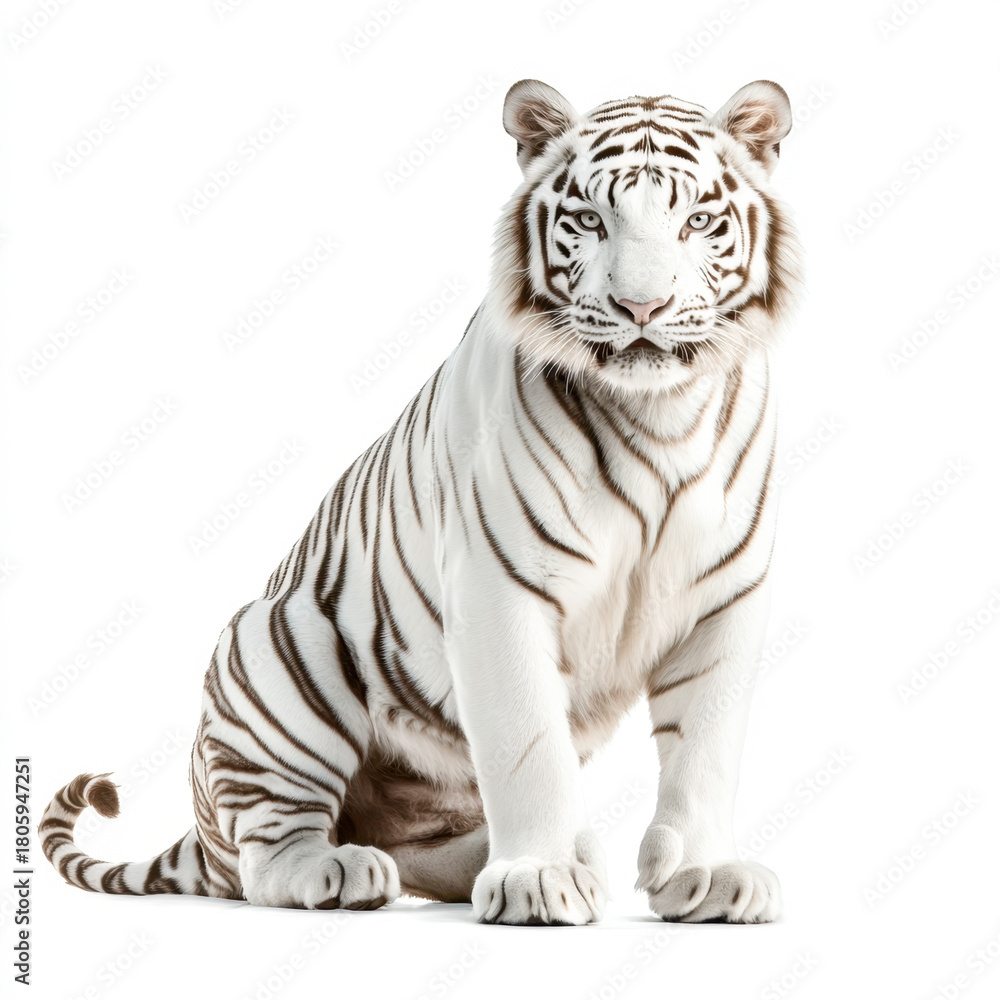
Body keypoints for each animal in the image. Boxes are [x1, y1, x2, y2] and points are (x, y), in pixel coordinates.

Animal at [40, 78, 803, 925]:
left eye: (697, 221)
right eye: (589, 220)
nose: (643, 308)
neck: (660, 414)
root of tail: (200, 828)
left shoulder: (726, 601)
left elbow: (706, 752)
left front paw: (707, 876)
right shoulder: (499, 589)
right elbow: (530, 747)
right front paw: (539, 878)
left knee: (413, 848)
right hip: (278, 649)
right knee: (266, 857)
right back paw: (341, 869)